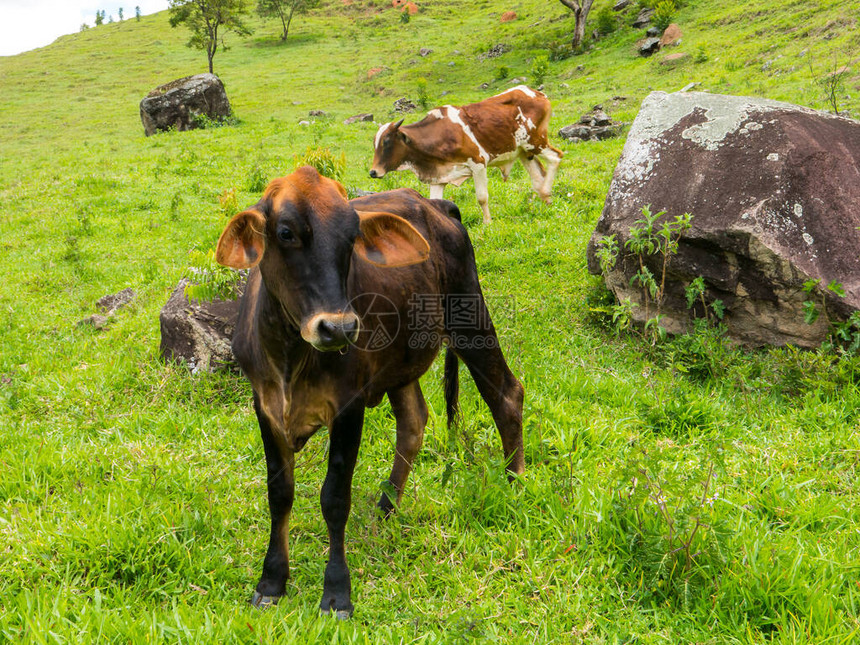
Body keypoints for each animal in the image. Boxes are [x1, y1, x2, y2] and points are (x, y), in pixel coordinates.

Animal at [215, 165, 524, 612]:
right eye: (286, 232)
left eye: (352, 236)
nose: (339, 327)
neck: (292, 355)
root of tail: (438, 205)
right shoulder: (265, 406)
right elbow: (280, 493)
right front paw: (272, 580)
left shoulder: (349, 404)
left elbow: (334, 497)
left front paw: (336, 590)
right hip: (402, 362)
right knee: (414, 421)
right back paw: (386, 507)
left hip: (470, 316)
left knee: (506, 395)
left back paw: (515, 483)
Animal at [370, 84, 564, 224]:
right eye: (375, 143)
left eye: (386, 142)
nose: (373, 172)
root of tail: (538, 94)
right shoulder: (439, 177)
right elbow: (434, 202)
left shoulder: (478, 164)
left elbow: (482, 198)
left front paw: (487, 222)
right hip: (524, 151)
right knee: (537, 177)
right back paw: (545, 199)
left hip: (536, 142)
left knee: (556, 157)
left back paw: (547, 192)